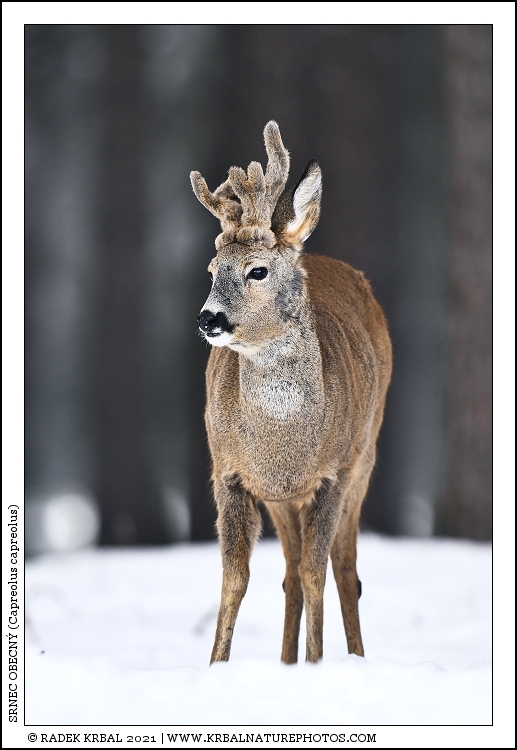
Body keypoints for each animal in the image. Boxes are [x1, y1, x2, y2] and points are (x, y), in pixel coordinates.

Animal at [190, 121, 392, 665]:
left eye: (257, 270)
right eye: (212, 271)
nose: (209, 319)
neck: (284, 446)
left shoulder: (332, 475)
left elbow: (317, 574)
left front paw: (317, 662)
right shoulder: (230, 472)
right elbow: (235, 578)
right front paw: (216, 665)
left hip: (365, 456)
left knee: (345, 570)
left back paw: (355, 658)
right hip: (283, 501)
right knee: (288, 575)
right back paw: (285, 663)